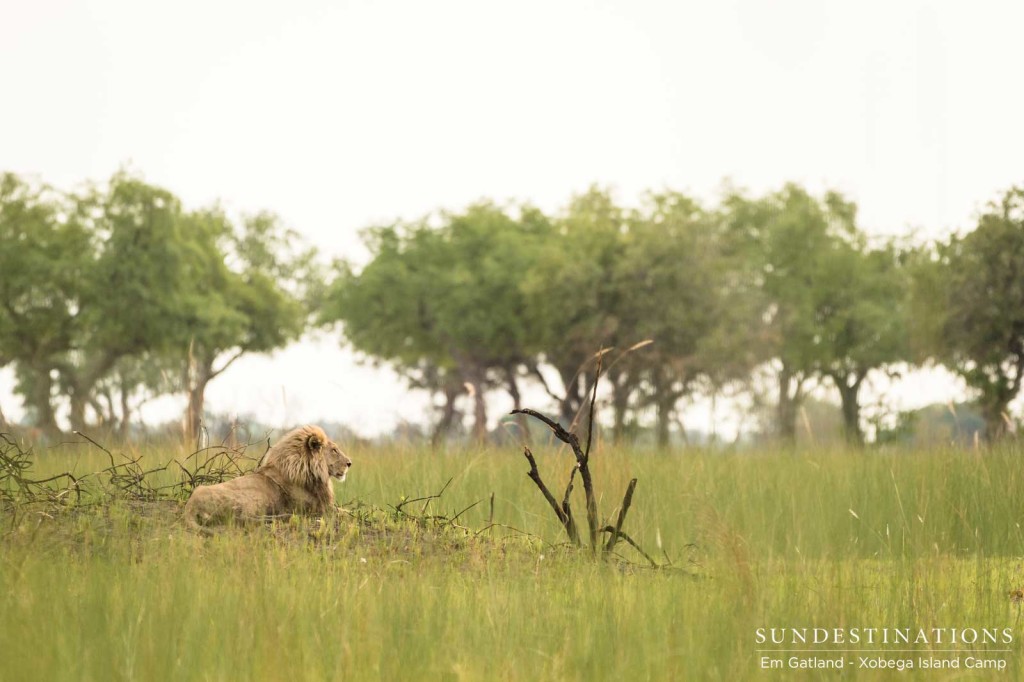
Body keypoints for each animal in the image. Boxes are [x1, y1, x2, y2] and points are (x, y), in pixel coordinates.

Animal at [180, 421, 348, 528]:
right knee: (241, 518)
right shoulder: (317, 507)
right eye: (334, 450)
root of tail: (191, 504)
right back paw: (281, 517)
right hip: (252, 497)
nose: (349, 463)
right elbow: (344, 512)